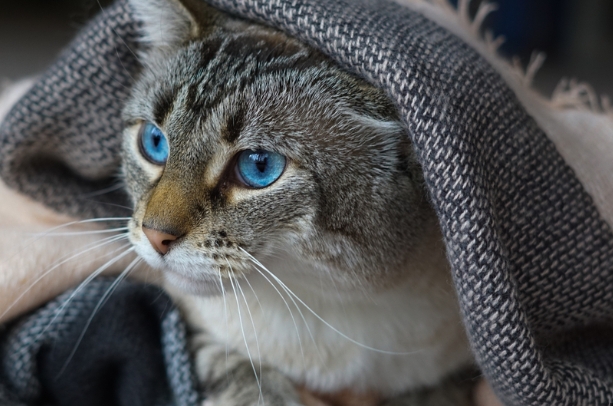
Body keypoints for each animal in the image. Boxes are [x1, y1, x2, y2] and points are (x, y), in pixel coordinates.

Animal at [120, 0, 474, 402]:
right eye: (154, 143)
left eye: (259, 166)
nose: (154, 235)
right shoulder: (177, 321)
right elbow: (234, 369)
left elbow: (435, 394)